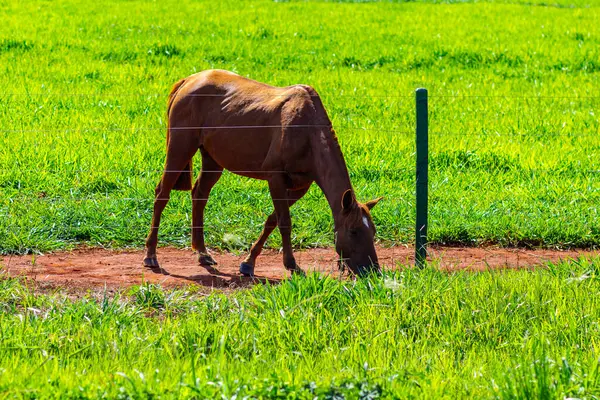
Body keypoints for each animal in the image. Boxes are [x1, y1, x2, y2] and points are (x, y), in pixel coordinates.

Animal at [143, 69, 382, 276]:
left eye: (372, 231)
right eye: (353, 231)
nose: (372, 271)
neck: (307, 130)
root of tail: (189, 80)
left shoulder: (300, 186)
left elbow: (272, 220)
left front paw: (249, 262)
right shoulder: (275, 178)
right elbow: (284, 222)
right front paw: (291, 264)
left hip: (212, 159)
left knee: (199, 195)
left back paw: (202, 252)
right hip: (180, 148)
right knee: (162, 194)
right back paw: (151, 255)